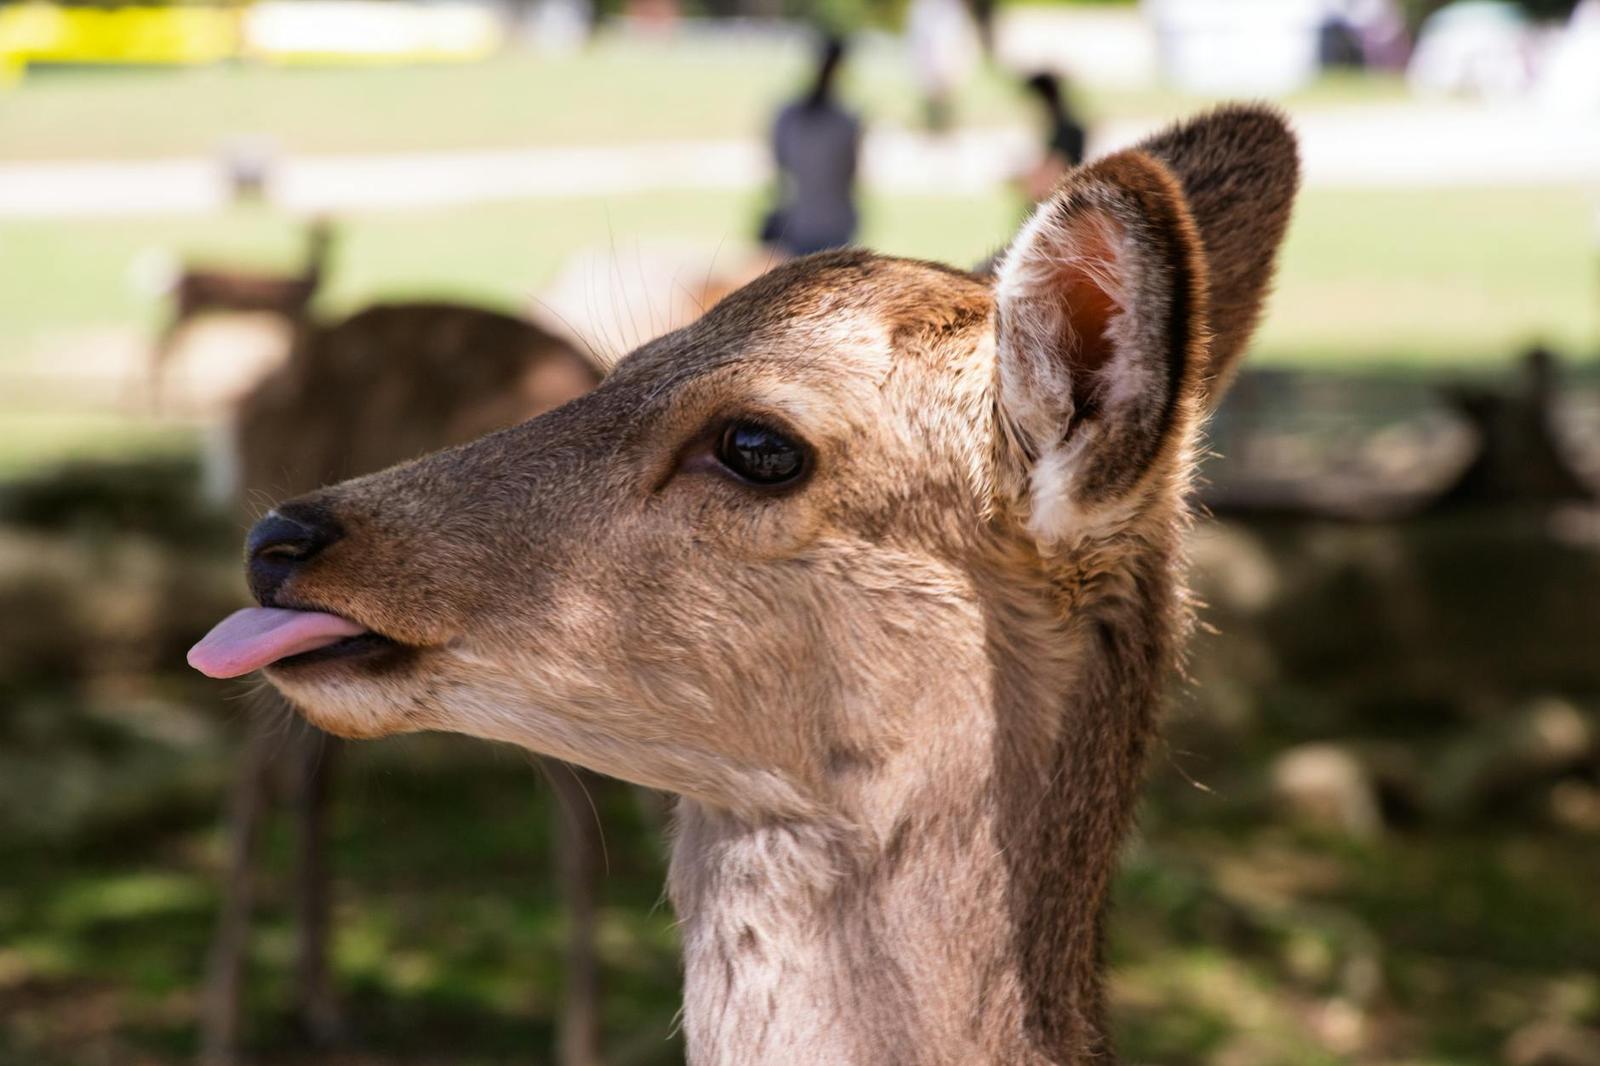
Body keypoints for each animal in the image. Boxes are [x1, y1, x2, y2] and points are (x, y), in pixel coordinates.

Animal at [199, 300, 608, 1066]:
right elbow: (583, 852)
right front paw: (579, 1045)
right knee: (255, 786)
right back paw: (221, 1034)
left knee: (312, 780)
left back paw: (319, 1007)